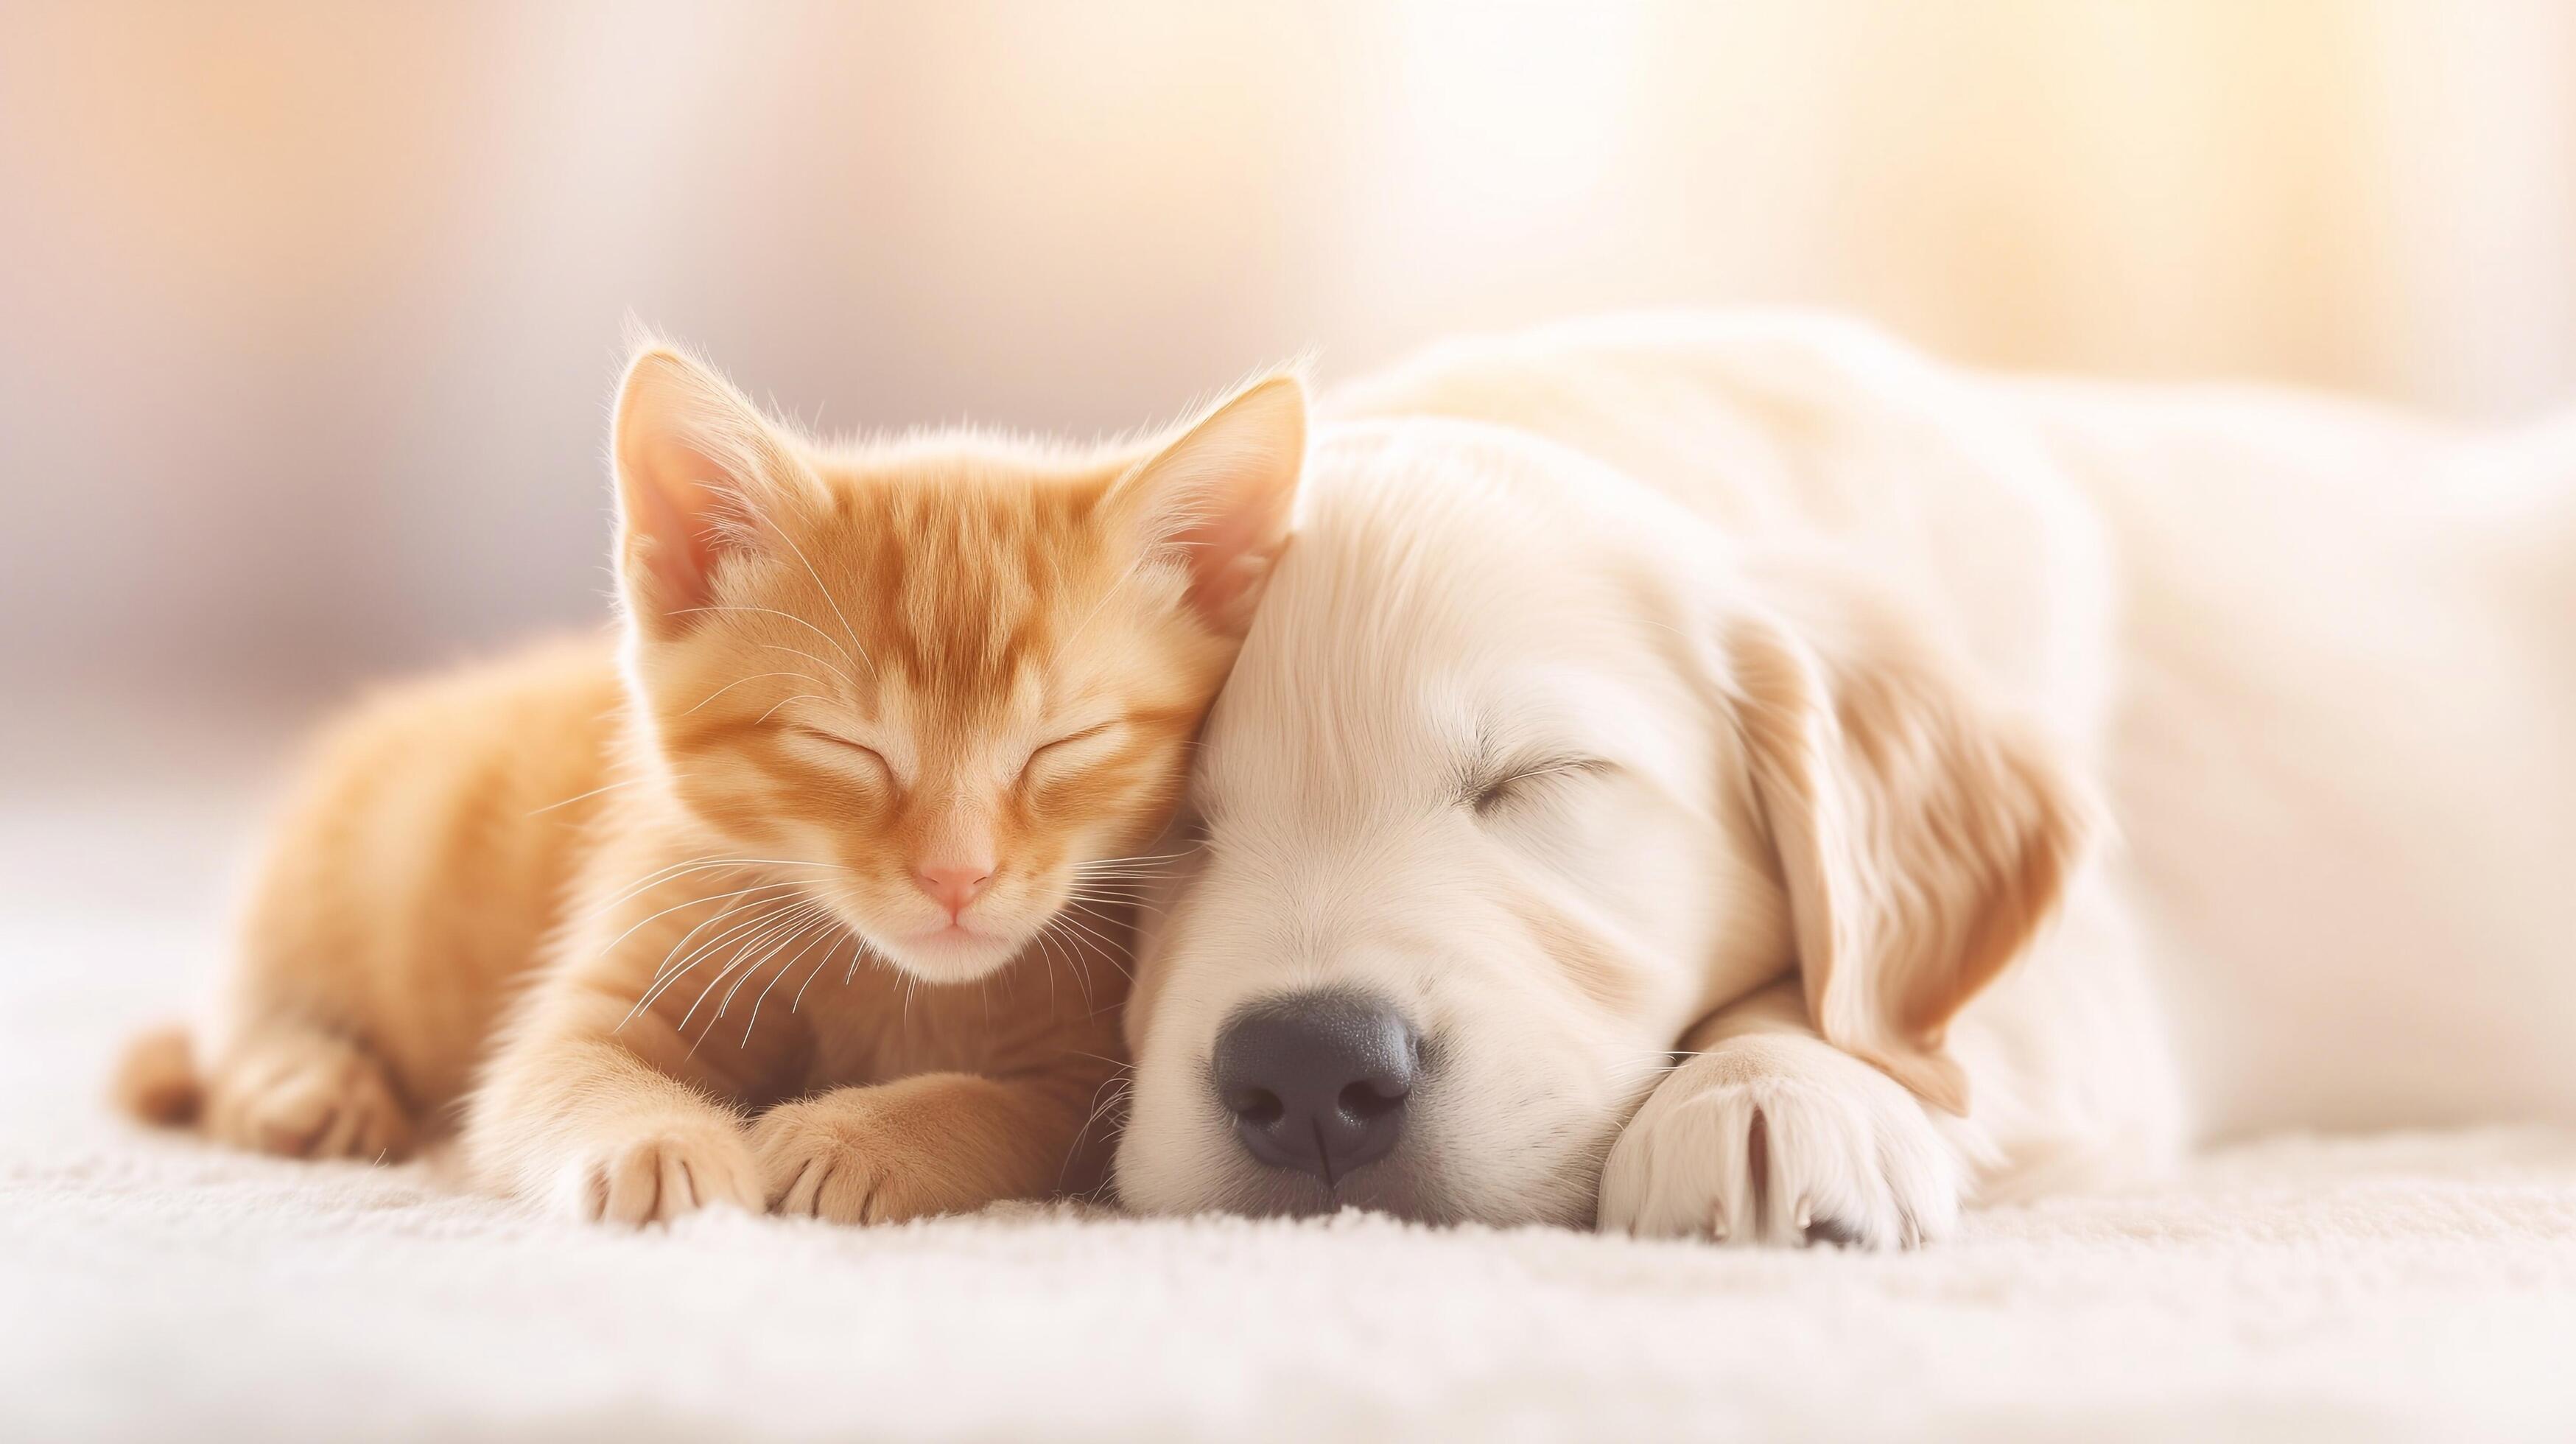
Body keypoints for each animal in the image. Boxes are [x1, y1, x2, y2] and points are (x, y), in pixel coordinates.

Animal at [110, 343, 1298, 1222]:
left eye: (1063, 745)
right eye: (844, 746)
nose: (955, 878)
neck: (896, 984)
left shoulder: (1093, 1076)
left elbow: (1006, 1107)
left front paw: (857, 1134)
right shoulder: (611, 968)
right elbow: (568, 1071)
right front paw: (659, 1143)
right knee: (252, 1007)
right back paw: (306, 1082)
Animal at [1117, 313, 2576, 1243]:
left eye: (1541, 778)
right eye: (1165, 830)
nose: (1312, 1070)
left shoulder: (2096, 985)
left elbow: (1896, 1011)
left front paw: (1768, 1093)